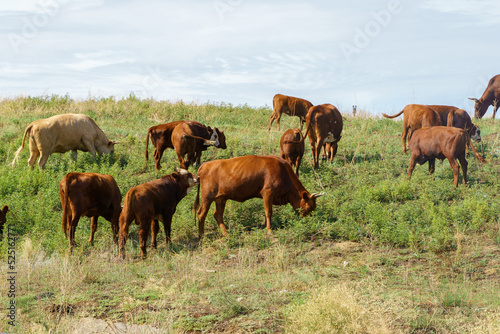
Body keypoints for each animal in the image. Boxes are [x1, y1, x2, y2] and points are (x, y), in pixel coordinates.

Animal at [195, 156, 324, 237]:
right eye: (309, 207)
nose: (309, 222)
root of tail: (204, 165)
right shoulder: (267, 192)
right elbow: (268, 212)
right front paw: (269, 230)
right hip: (207, 197)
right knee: (201, 213)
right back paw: (202, 236)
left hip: (221, 198)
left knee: (218, 215)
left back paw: (226, 234)